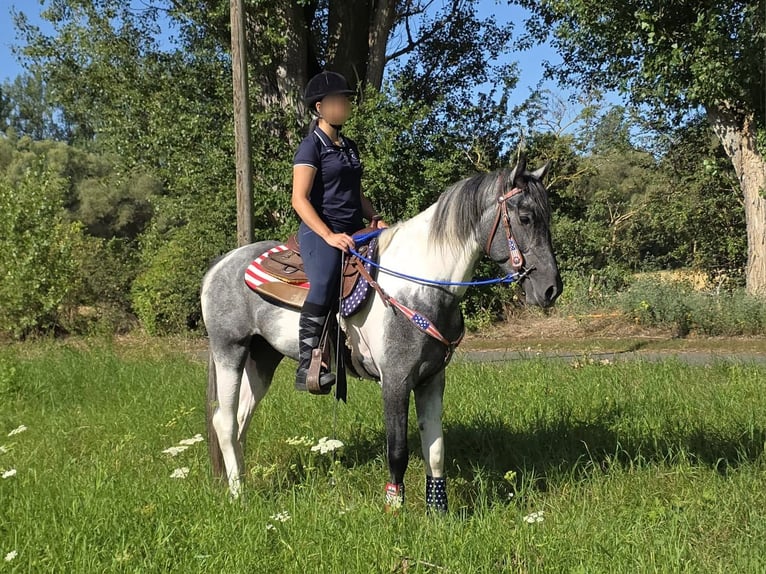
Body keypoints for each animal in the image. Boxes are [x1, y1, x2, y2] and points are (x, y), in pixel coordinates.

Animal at [201, 155, 562, 512]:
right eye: (526, 217)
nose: (551, 289)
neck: (419, 284)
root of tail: (221, 264)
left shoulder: (432, 380)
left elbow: (435, 449)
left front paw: (438, 511)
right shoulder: (395, 380)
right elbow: (398, 450)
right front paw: (394, 507)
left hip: (263, 357)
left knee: (241, 420)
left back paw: (241, 482)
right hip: (230, 350)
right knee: (225, 421)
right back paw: (238, 494)